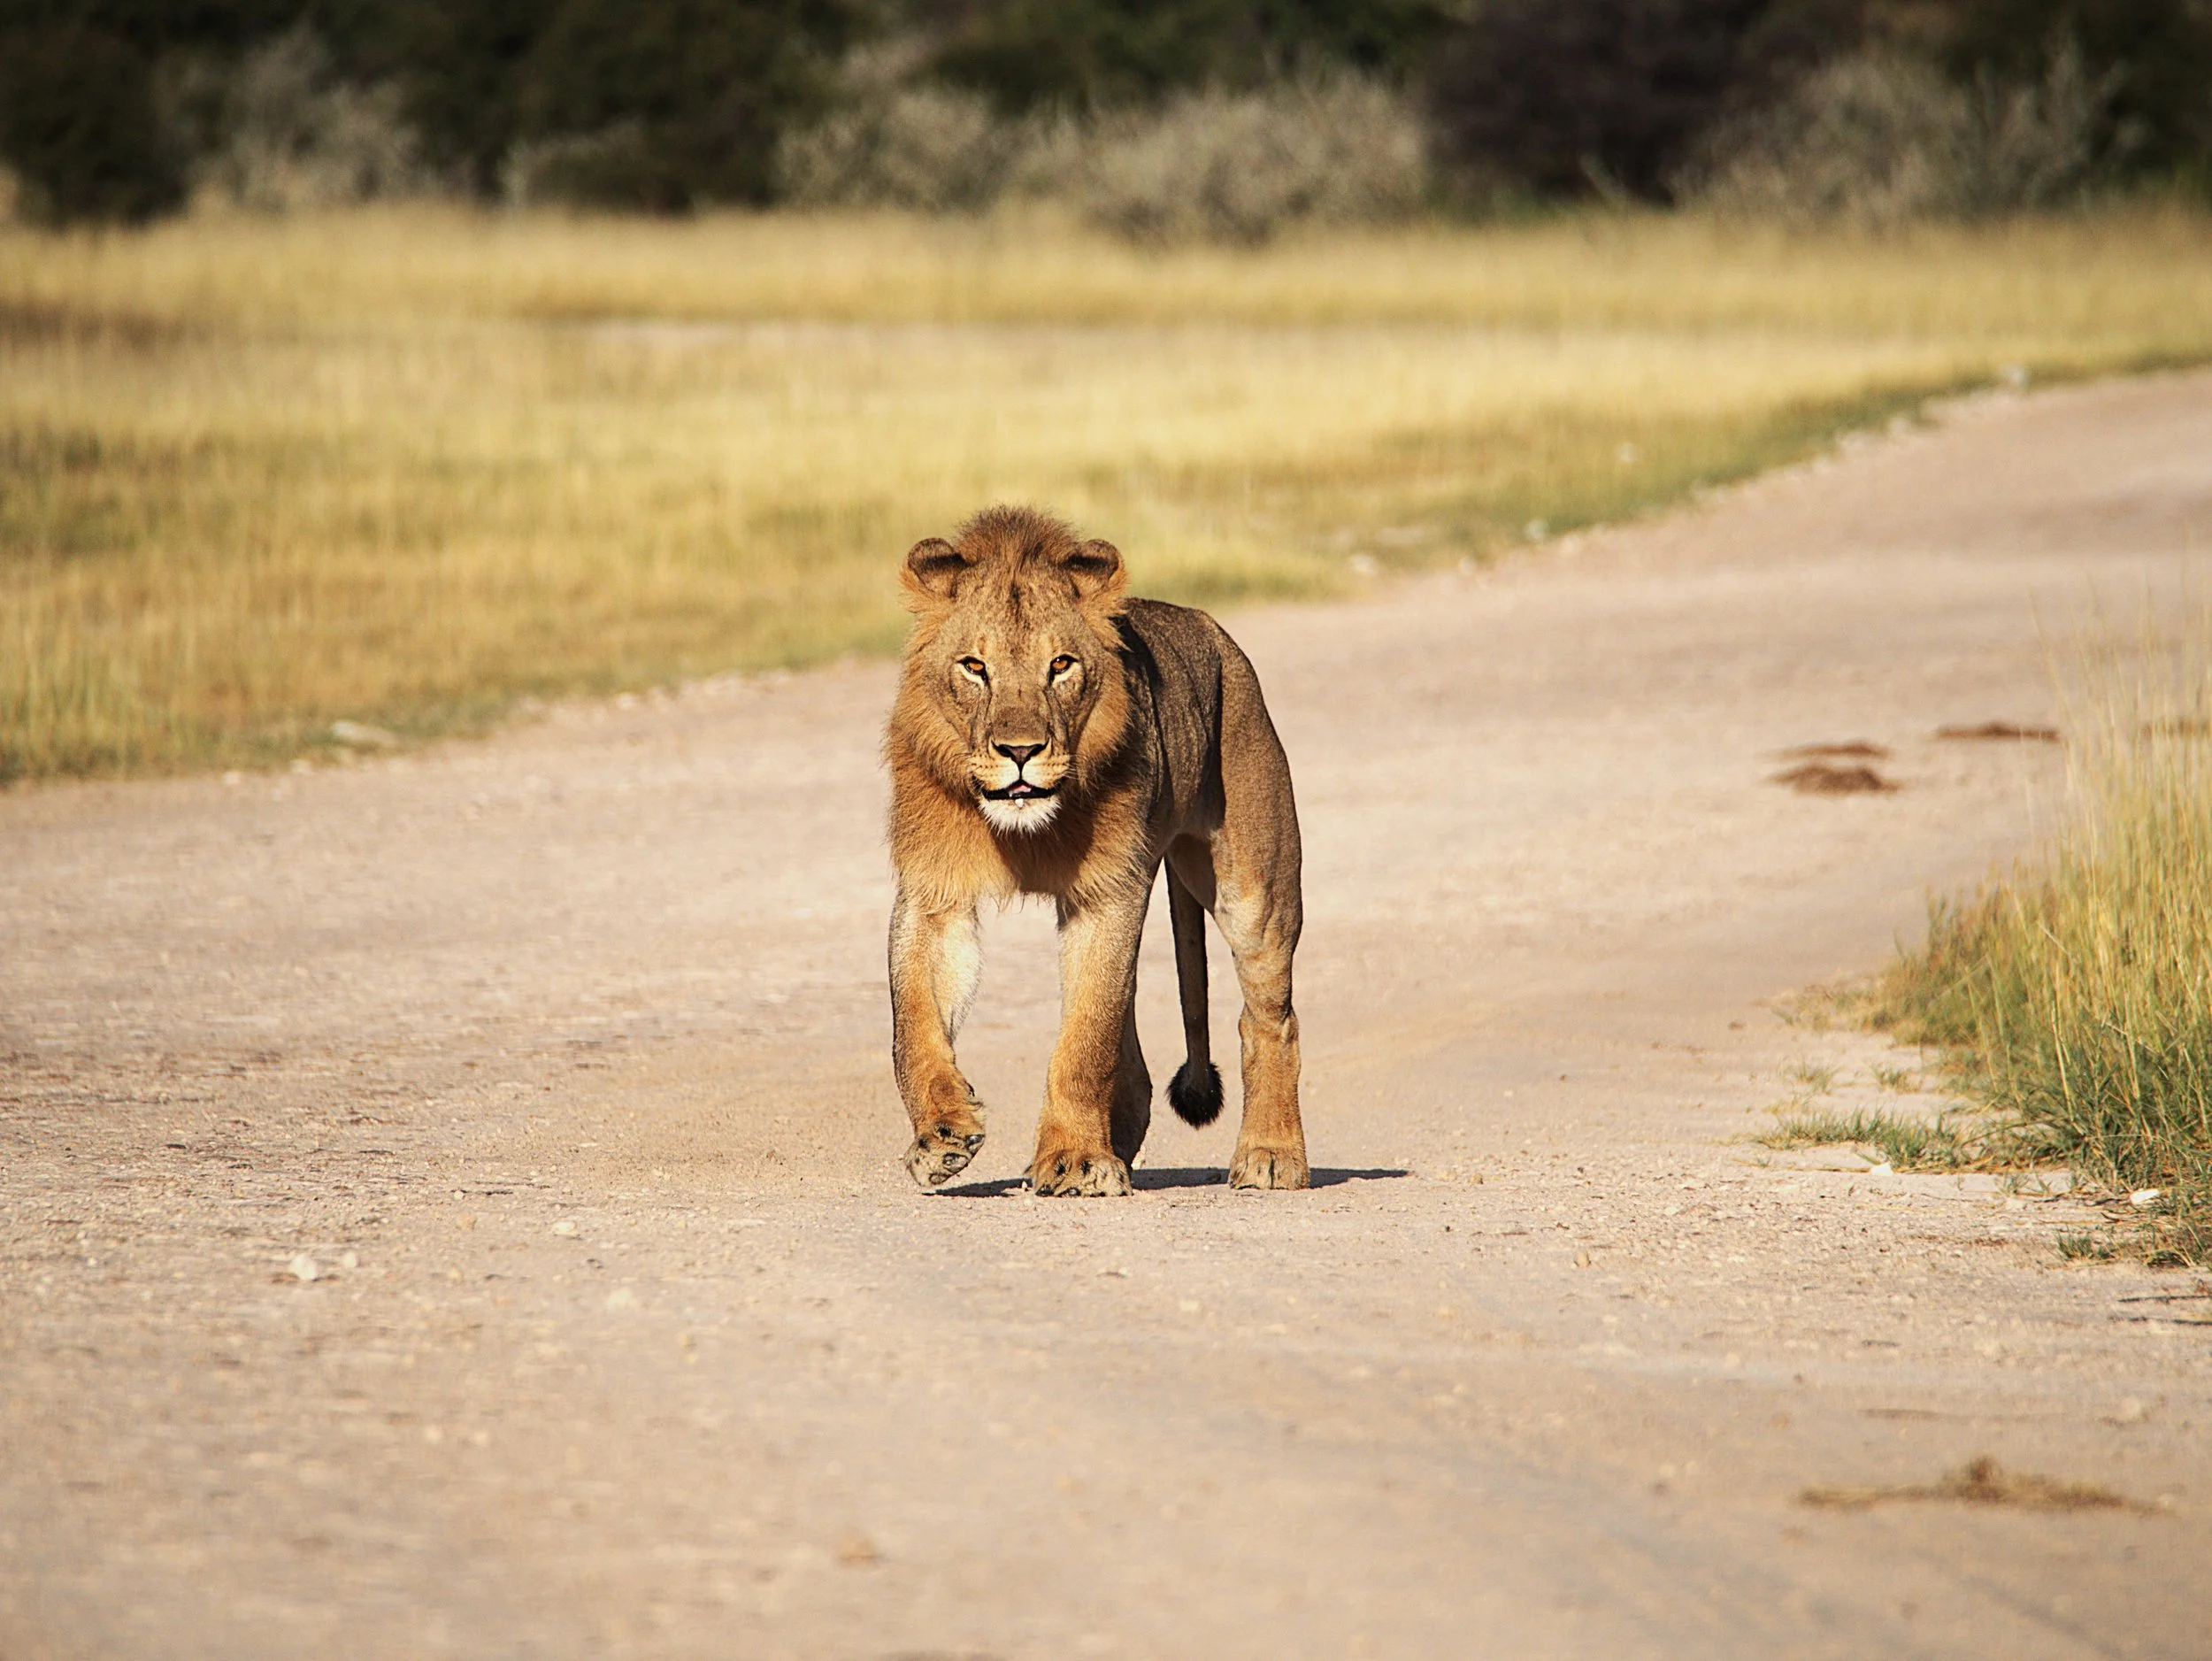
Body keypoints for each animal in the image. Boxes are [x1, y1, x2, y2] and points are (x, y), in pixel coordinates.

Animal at [883, 505, 1308, 1197]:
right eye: (974, 667)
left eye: (1060, 666)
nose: (1020, 751)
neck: (1023, 830)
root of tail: (1213, 631)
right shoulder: (934, 893)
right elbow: (913, 1022)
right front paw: (941, 1135)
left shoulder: (1108, 893)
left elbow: (1085, 1039)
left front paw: (1076, 1160)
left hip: (1256, 892)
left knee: (1268, 1018)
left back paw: (1271, 1154)